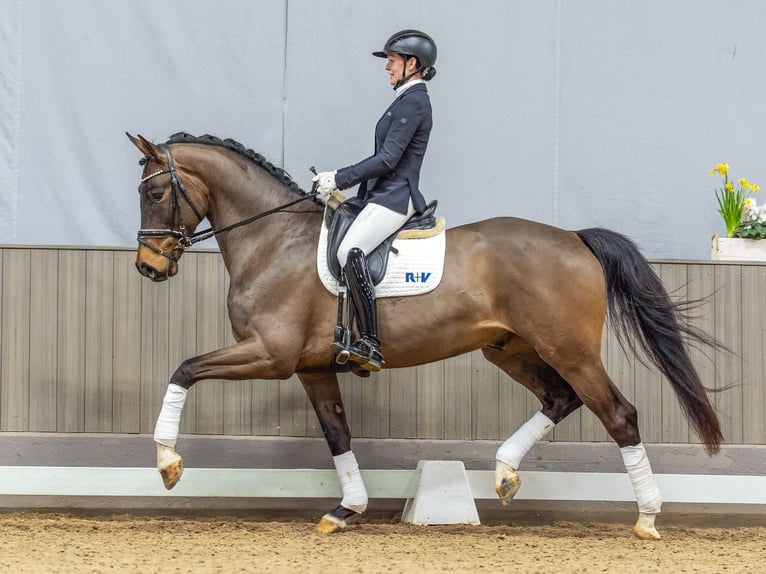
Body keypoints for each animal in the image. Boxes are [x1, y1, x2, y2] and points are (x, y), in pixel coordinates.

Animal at [127, 132, 724, 540]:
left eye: (154, 192)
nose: (148, 269)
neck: (274, 240)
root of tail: (575, 238)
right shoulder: (311, 367)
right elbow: (337, 435)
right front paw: (346, 510)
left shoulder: (270, 356)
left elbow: (183, 369)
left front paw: (168, 464)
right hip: (510, 348)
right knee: (560, 398)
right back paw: (504, 474)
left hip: (569, 349)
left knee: (618, 413)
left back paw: (647, 517)